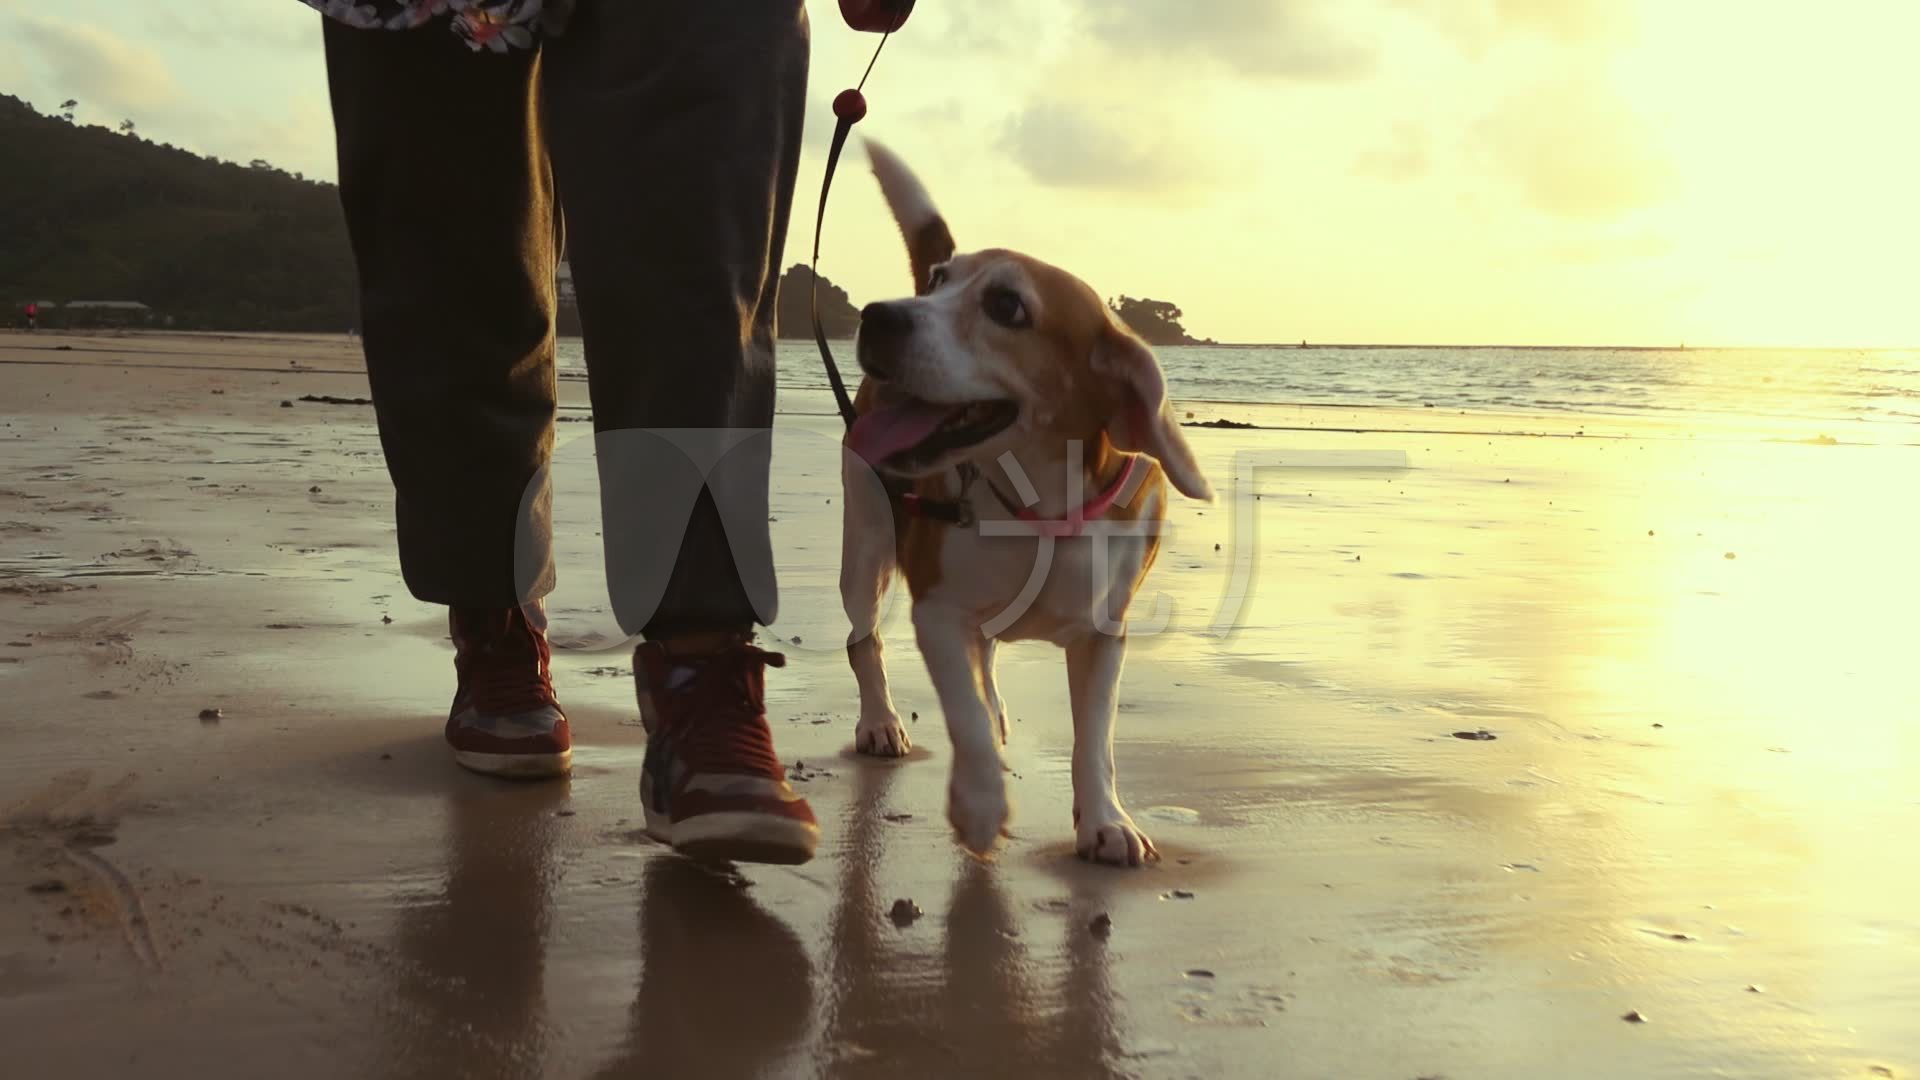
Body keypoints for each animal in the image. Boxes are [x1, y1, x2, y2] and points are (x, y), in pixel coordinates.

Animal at [837, 141, 1205, 864]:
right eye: (939, 280)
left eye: (1007, 306)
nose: (875, 315)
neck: (1042, 507)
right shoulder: (938, 612)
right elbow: (965, 714)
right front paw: (980, 806)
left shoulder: (1105, 632)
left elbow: (1095, 740)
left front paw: (1105, 821)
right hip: (865, 552)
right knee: (864, 642)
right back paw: (881, 721)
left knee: (985, 660)